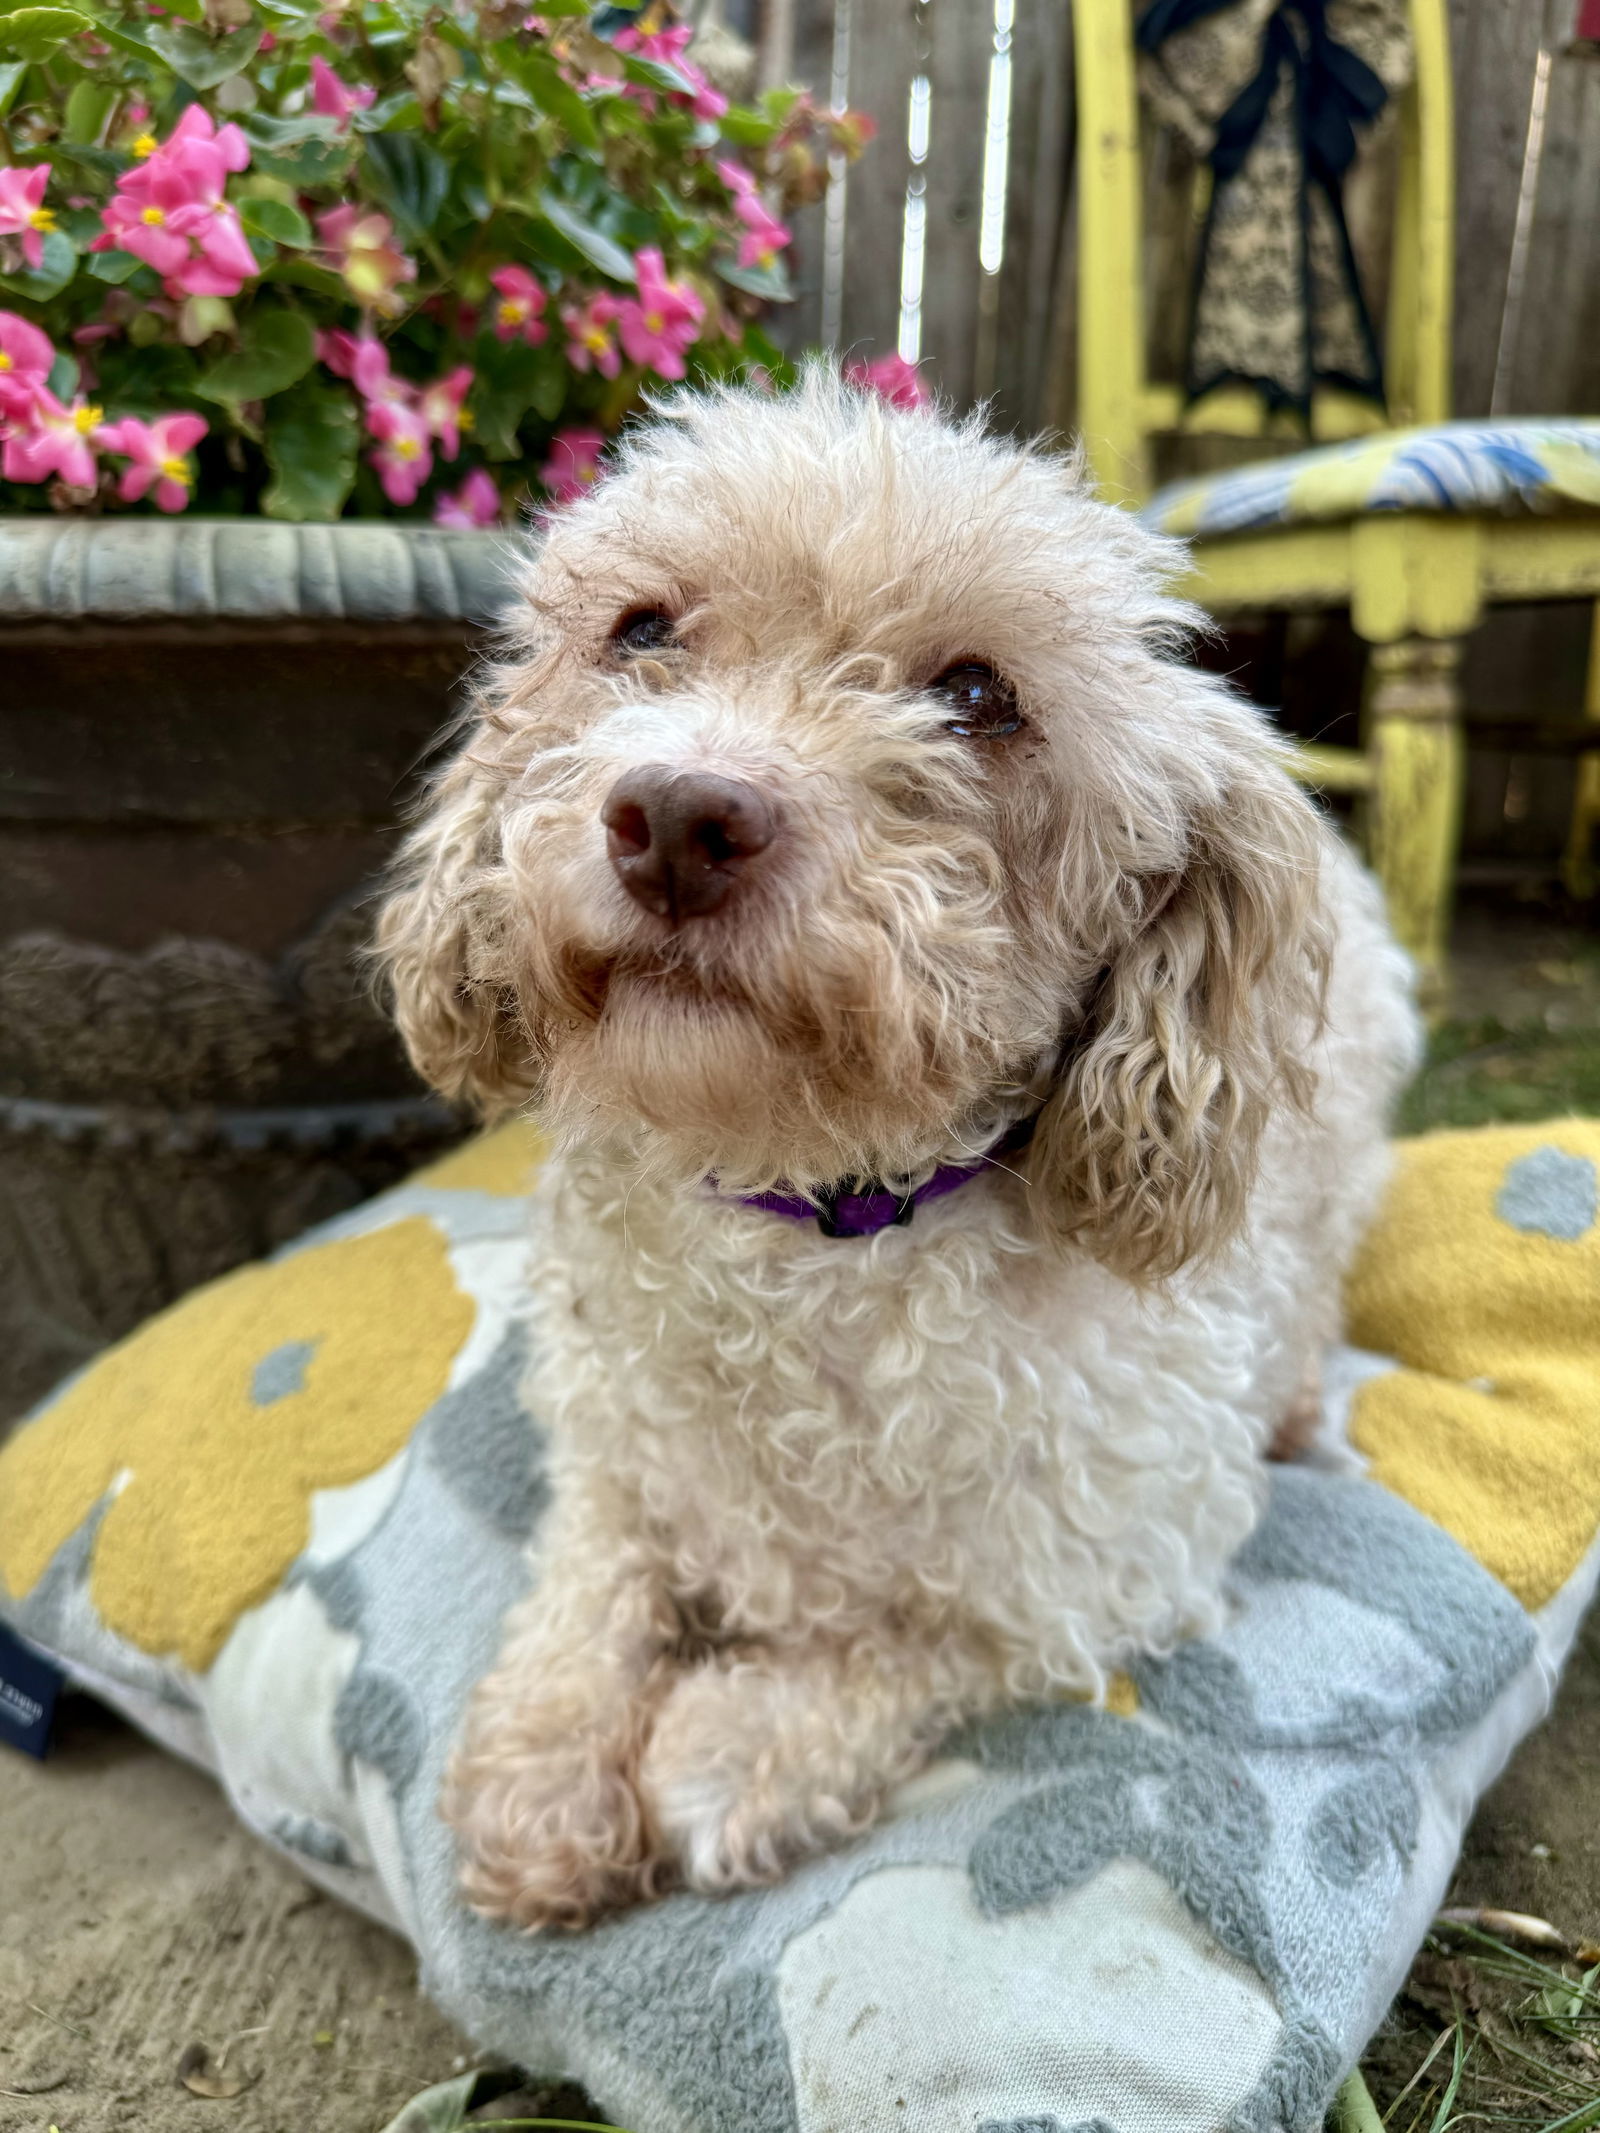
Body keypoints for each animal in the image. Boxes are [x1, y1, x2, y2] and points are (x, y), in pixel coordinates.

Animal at [379, 366, 1425, 1936]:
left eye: (979, 695)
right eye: (642, 629)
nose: (678, 817)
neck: (819, 1215)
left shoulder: (1105, 1563)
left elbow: (912, 1646)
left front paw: (728, 1744)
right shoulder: (614, 1455)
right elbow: (590, 1585)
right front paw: (545, 1775)